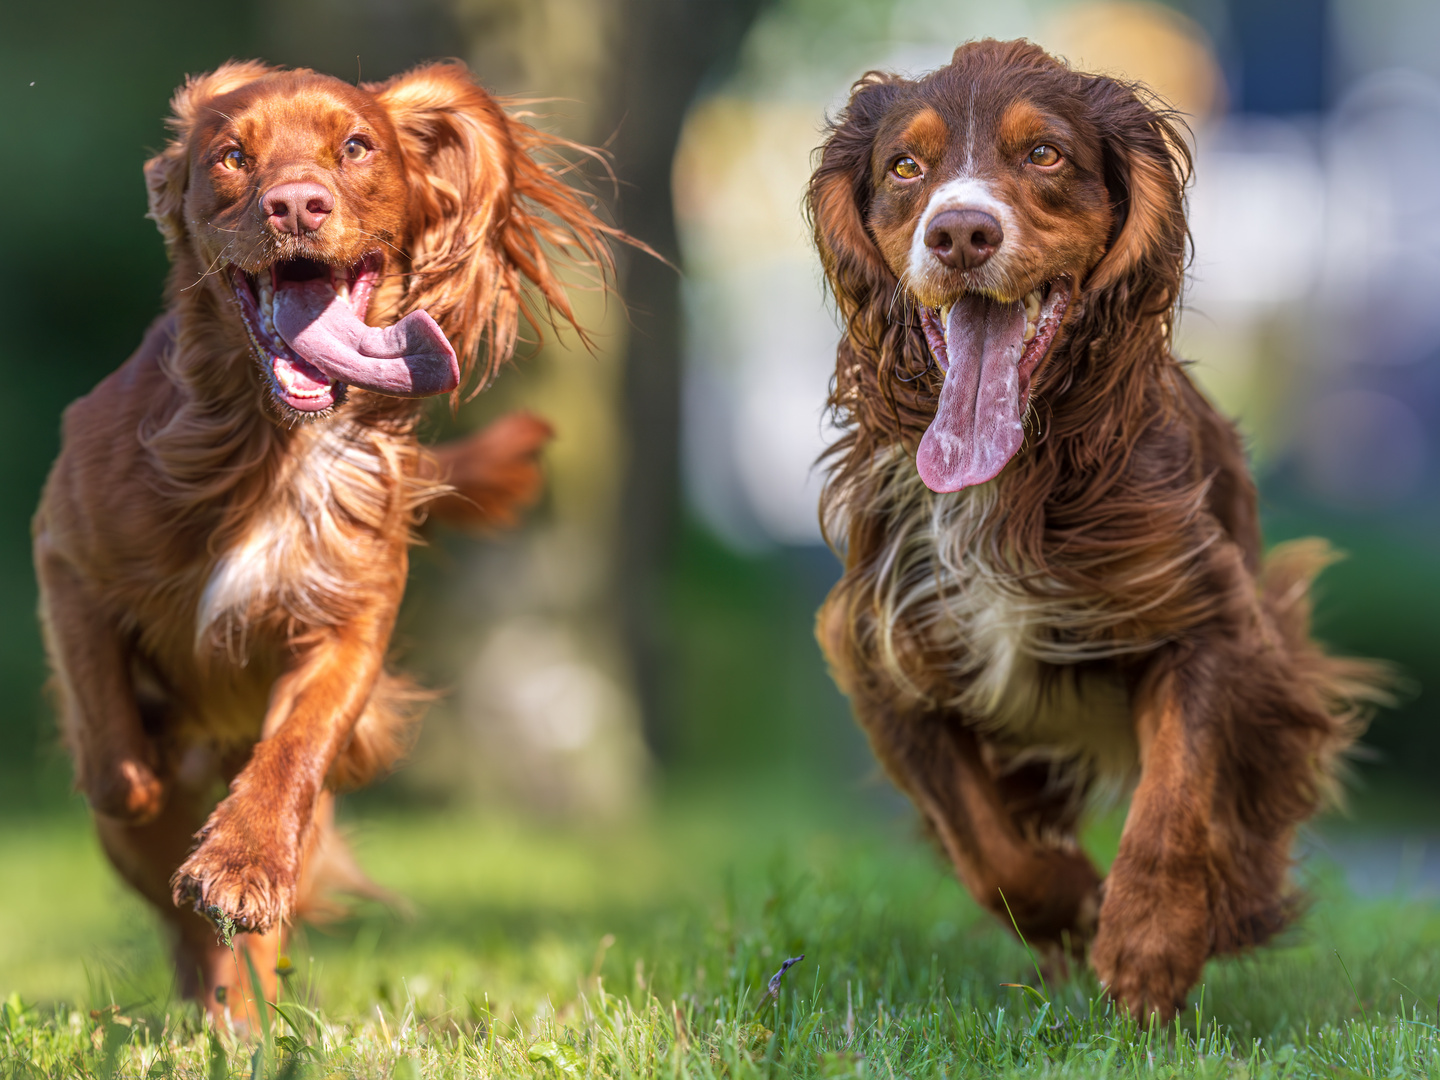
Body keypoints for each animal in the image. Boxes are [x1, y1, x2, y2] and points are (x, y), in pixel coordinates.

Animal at [35, 59, 619, 1025]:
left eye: (356, 145)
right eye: (231, 155)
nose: (296, 206)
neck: (269, 446)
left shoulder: (350, 620)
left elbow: (297, 749)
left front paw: (238, 866)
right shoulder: (65, 546)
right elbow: (116, 759)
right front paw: (143, 768)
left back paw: (241, 1010)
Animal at [812, 40, 1382, 1025]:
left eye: (1045, 154)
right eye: (905, 167)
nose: (960, 234)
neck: (1013, 472)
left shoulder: (1209, 617)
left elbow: (1177, 797)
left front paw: (1149, 946)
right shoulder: (884, 654)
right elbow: (988, 847)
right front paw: (1076, 905)